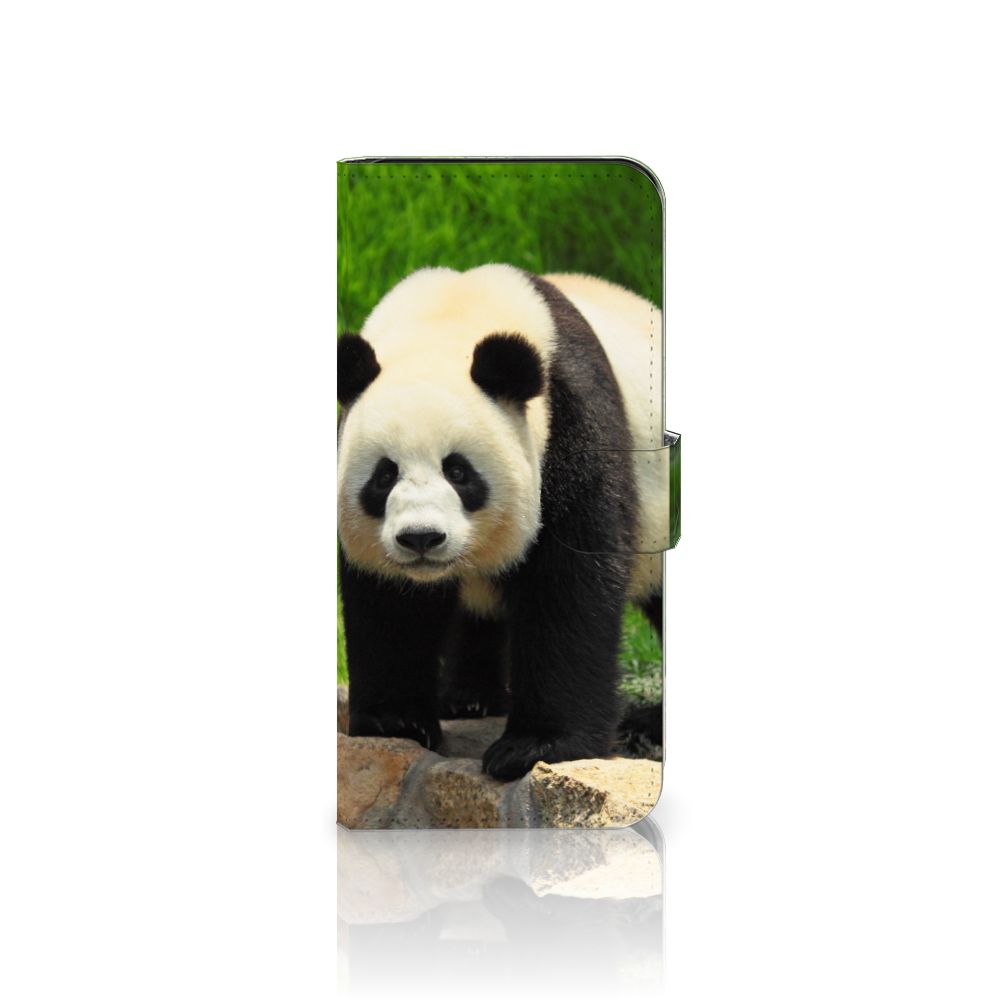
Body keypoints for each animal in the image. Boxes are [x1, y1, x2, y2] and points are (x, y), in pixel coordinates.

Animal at [338, 264, 666, 780]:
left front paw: (535, 747)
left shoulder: (571, 424)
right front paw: (397, 723)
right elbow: (389, 603)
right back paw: (469, 698)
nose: (421, 538)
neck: (448, 319)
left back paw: (648, 723)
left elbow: (568, 585)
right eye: (384, 475)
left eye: (458, 471)